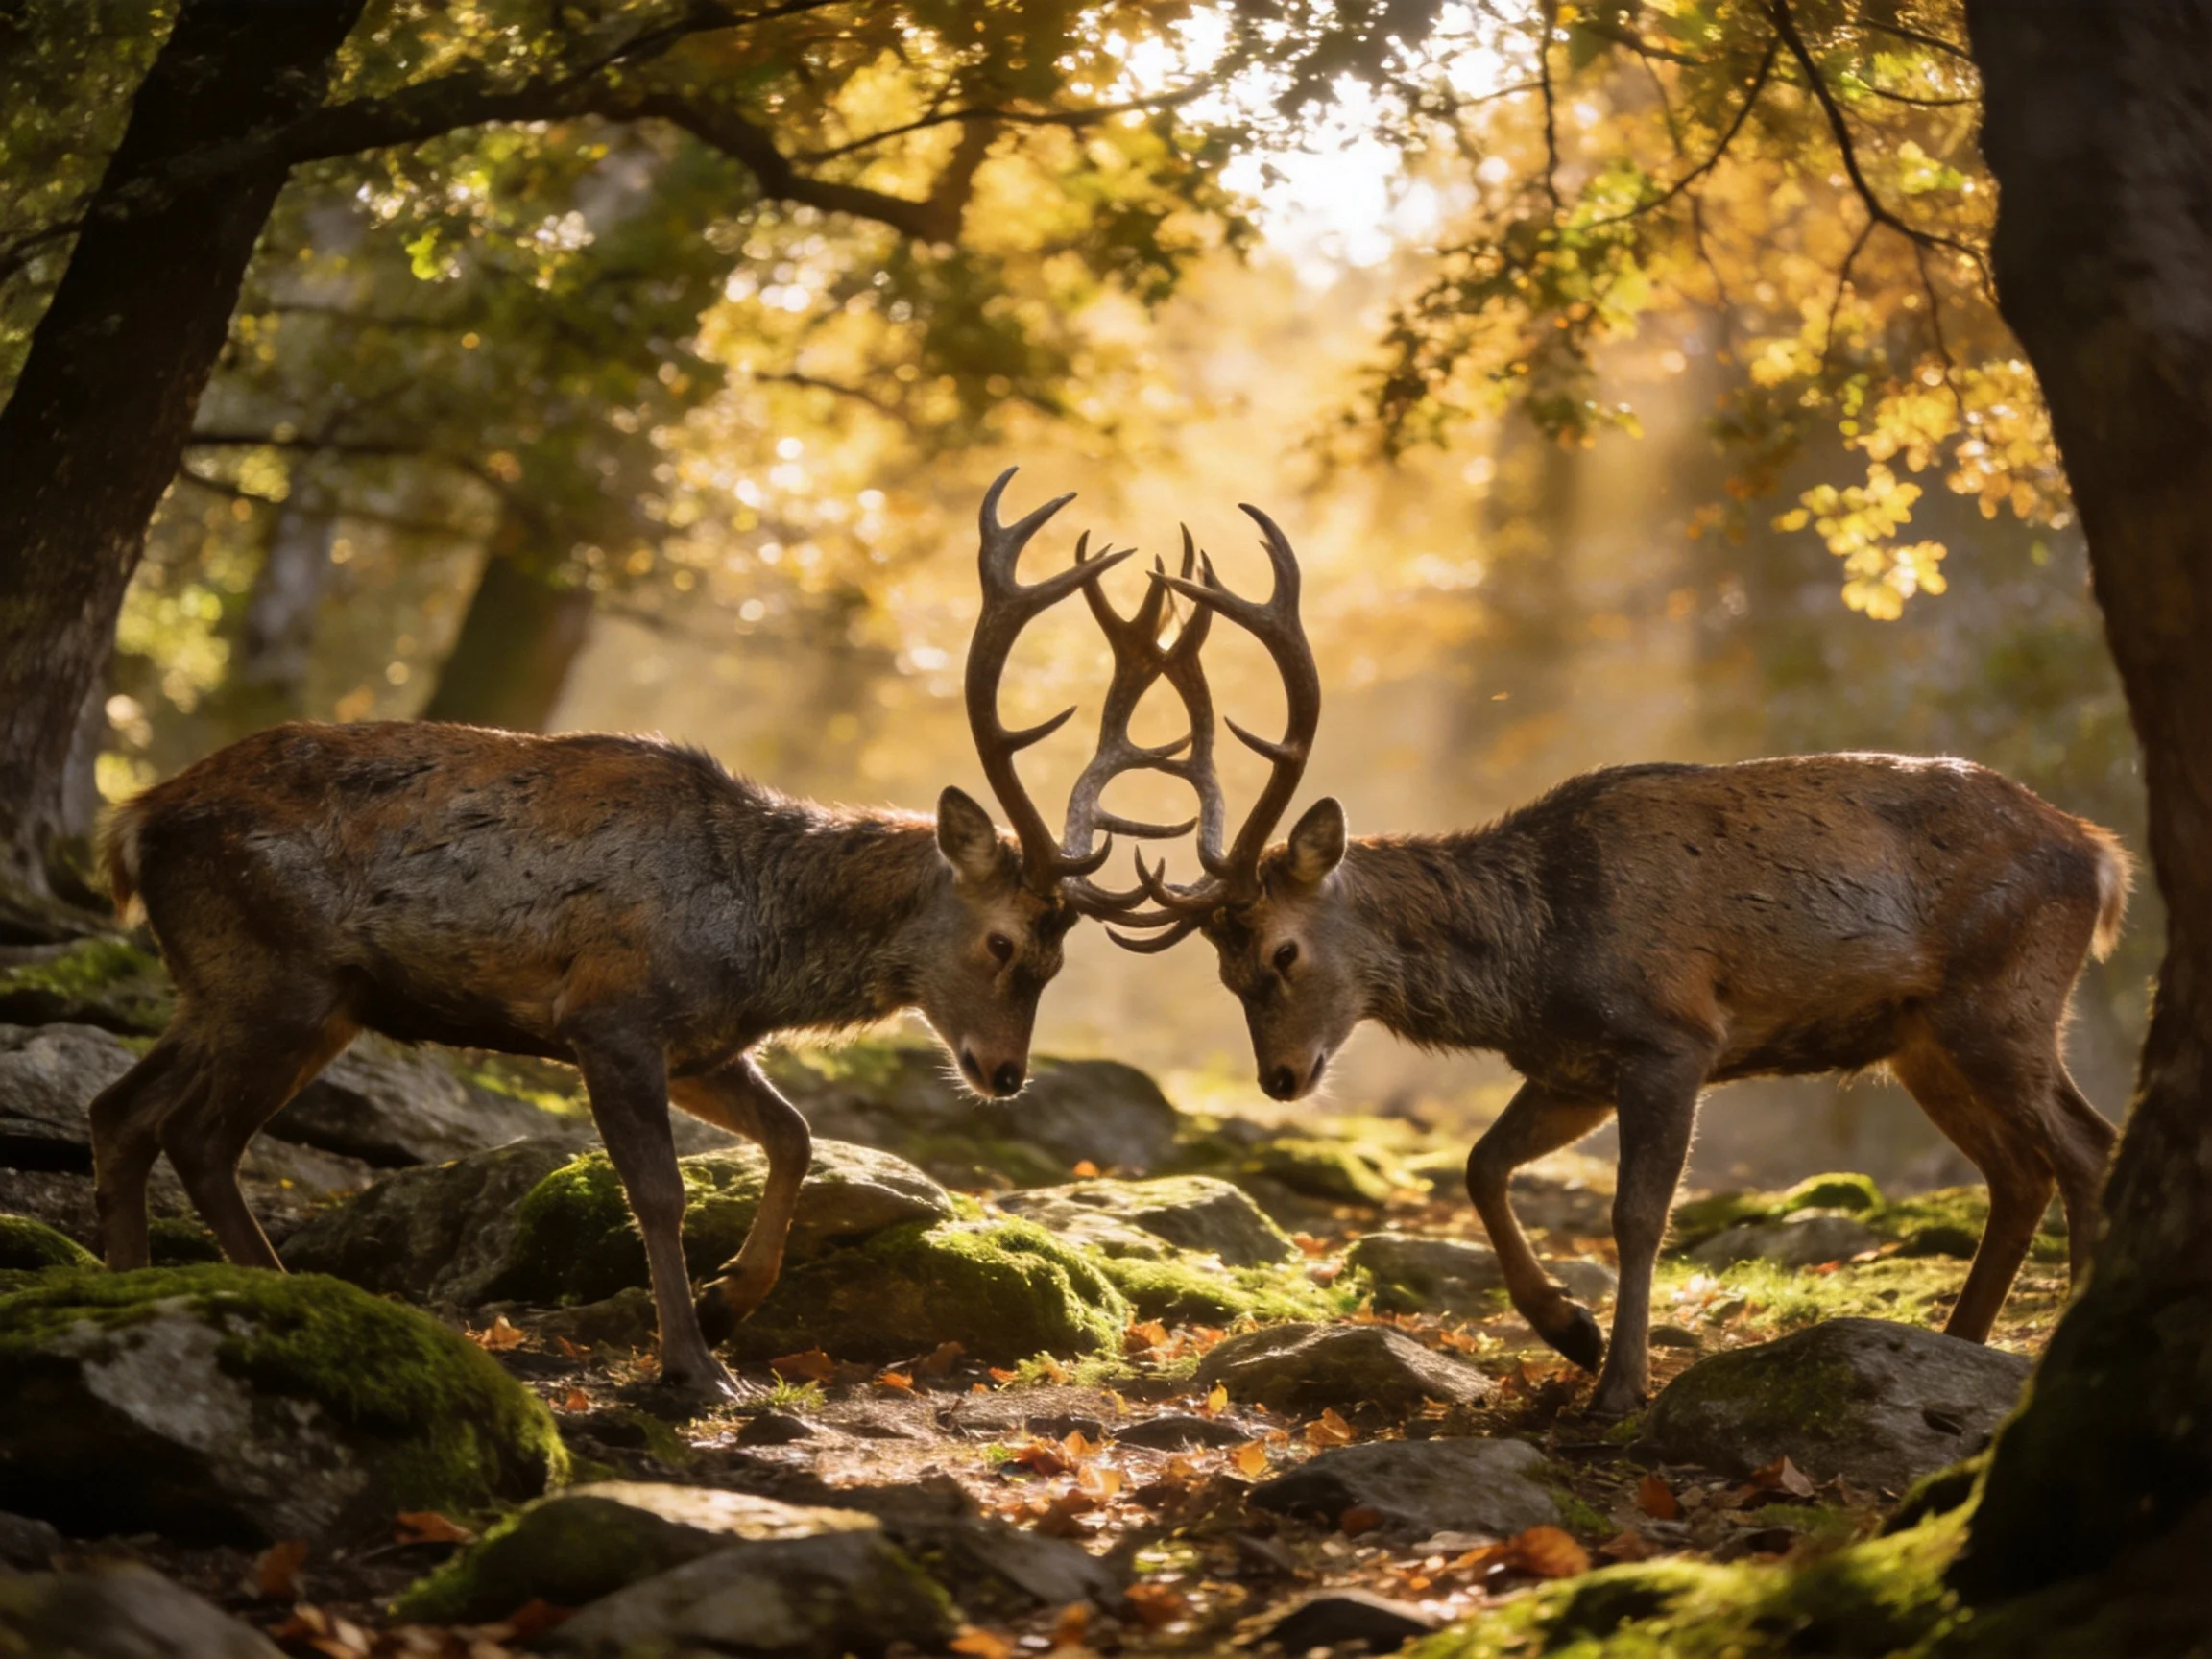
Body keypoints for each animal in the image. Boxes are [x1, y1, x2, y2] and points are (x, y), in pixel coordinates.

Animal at [86, 469, 1203, 1397]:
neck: (756, 940)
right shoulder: (609, 1012)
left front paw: (732, 1300)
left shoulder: (701, 1044)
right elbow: (659, 1191)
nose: (1006, 1074)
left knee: (121, 1109)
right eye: (1003, 942)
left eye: (1061, 957)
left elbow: (796, 1135)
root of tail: (134, 823)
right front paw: (693, 1366)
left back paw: (123, 1283)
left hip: (234, 988)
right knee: (197, 1133)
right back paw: (283, 1291)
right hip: (284, 981)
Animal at [1110, 506, 2131, 1418]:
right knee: (2021, 1173)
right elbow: (1480, 1164)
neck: (1535, 958)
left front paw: (1617, 1387)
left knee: (2086, 1147)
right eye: (1225, 972)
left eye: (1284, 949)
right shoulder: (1572, 1071)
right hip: (1923, 1039)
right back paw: (1963, 1346)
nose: (1280, 1077)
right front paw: (1568, 1330)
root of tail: (2101, 856)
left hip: (2002, 999)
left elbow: (1637, 1217)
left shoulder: (1670, 1036)